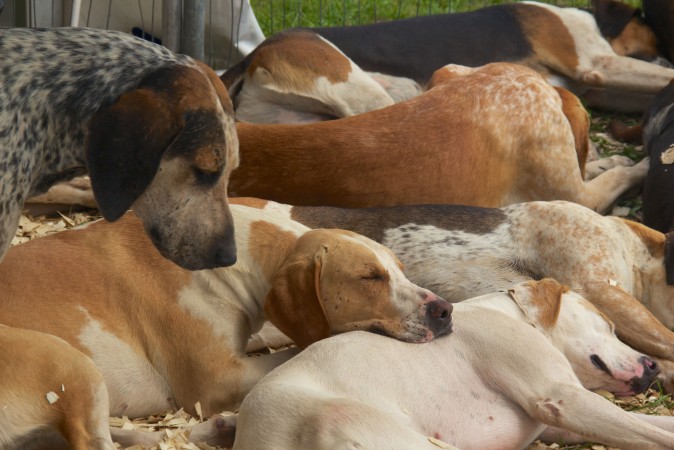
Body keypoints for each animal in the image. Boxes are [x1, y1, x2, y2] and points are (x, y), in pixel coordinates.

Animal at [0, 204, 452, 450]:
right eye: (369, 277)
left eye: (401, 269)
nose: (445, 310)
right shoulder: (217, 380)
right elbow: (297, 350)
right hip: (70, 361)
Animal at [234, 280, 672, 448]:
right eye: (609, 324)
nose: (653, 367)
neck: (513, 314)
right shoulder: (562, 399)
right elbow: (655, 435)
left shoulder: (560, 425)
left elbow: (650, 426)